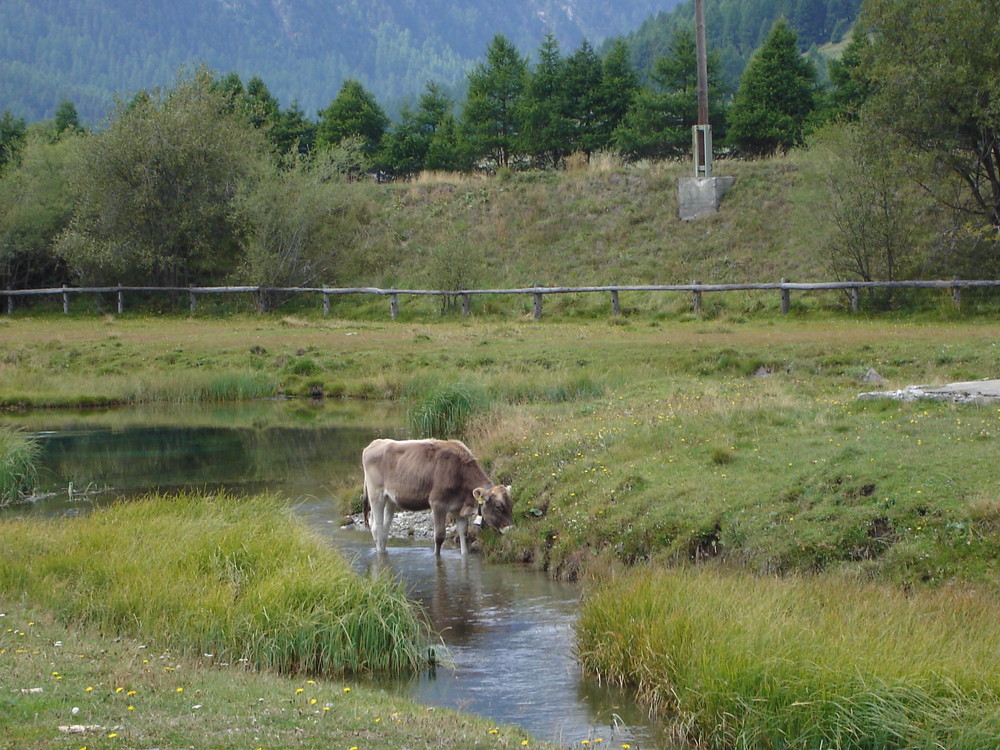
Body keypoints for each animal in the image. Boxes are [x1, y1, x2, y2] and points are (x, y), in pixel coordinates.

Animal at [362, 438, 516, 556]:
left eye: (511, 505)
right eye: (498, 506)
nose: (511, 529)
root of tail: (375, 443)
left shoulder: (458, 507)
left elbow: (463, 533)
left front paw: (464, 555)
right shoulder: (438, 503)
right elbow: (439, 537)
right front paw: (436, 556)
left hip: (390, 499)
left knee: (384, 529)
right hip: (376, 494)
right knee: (377, 527)